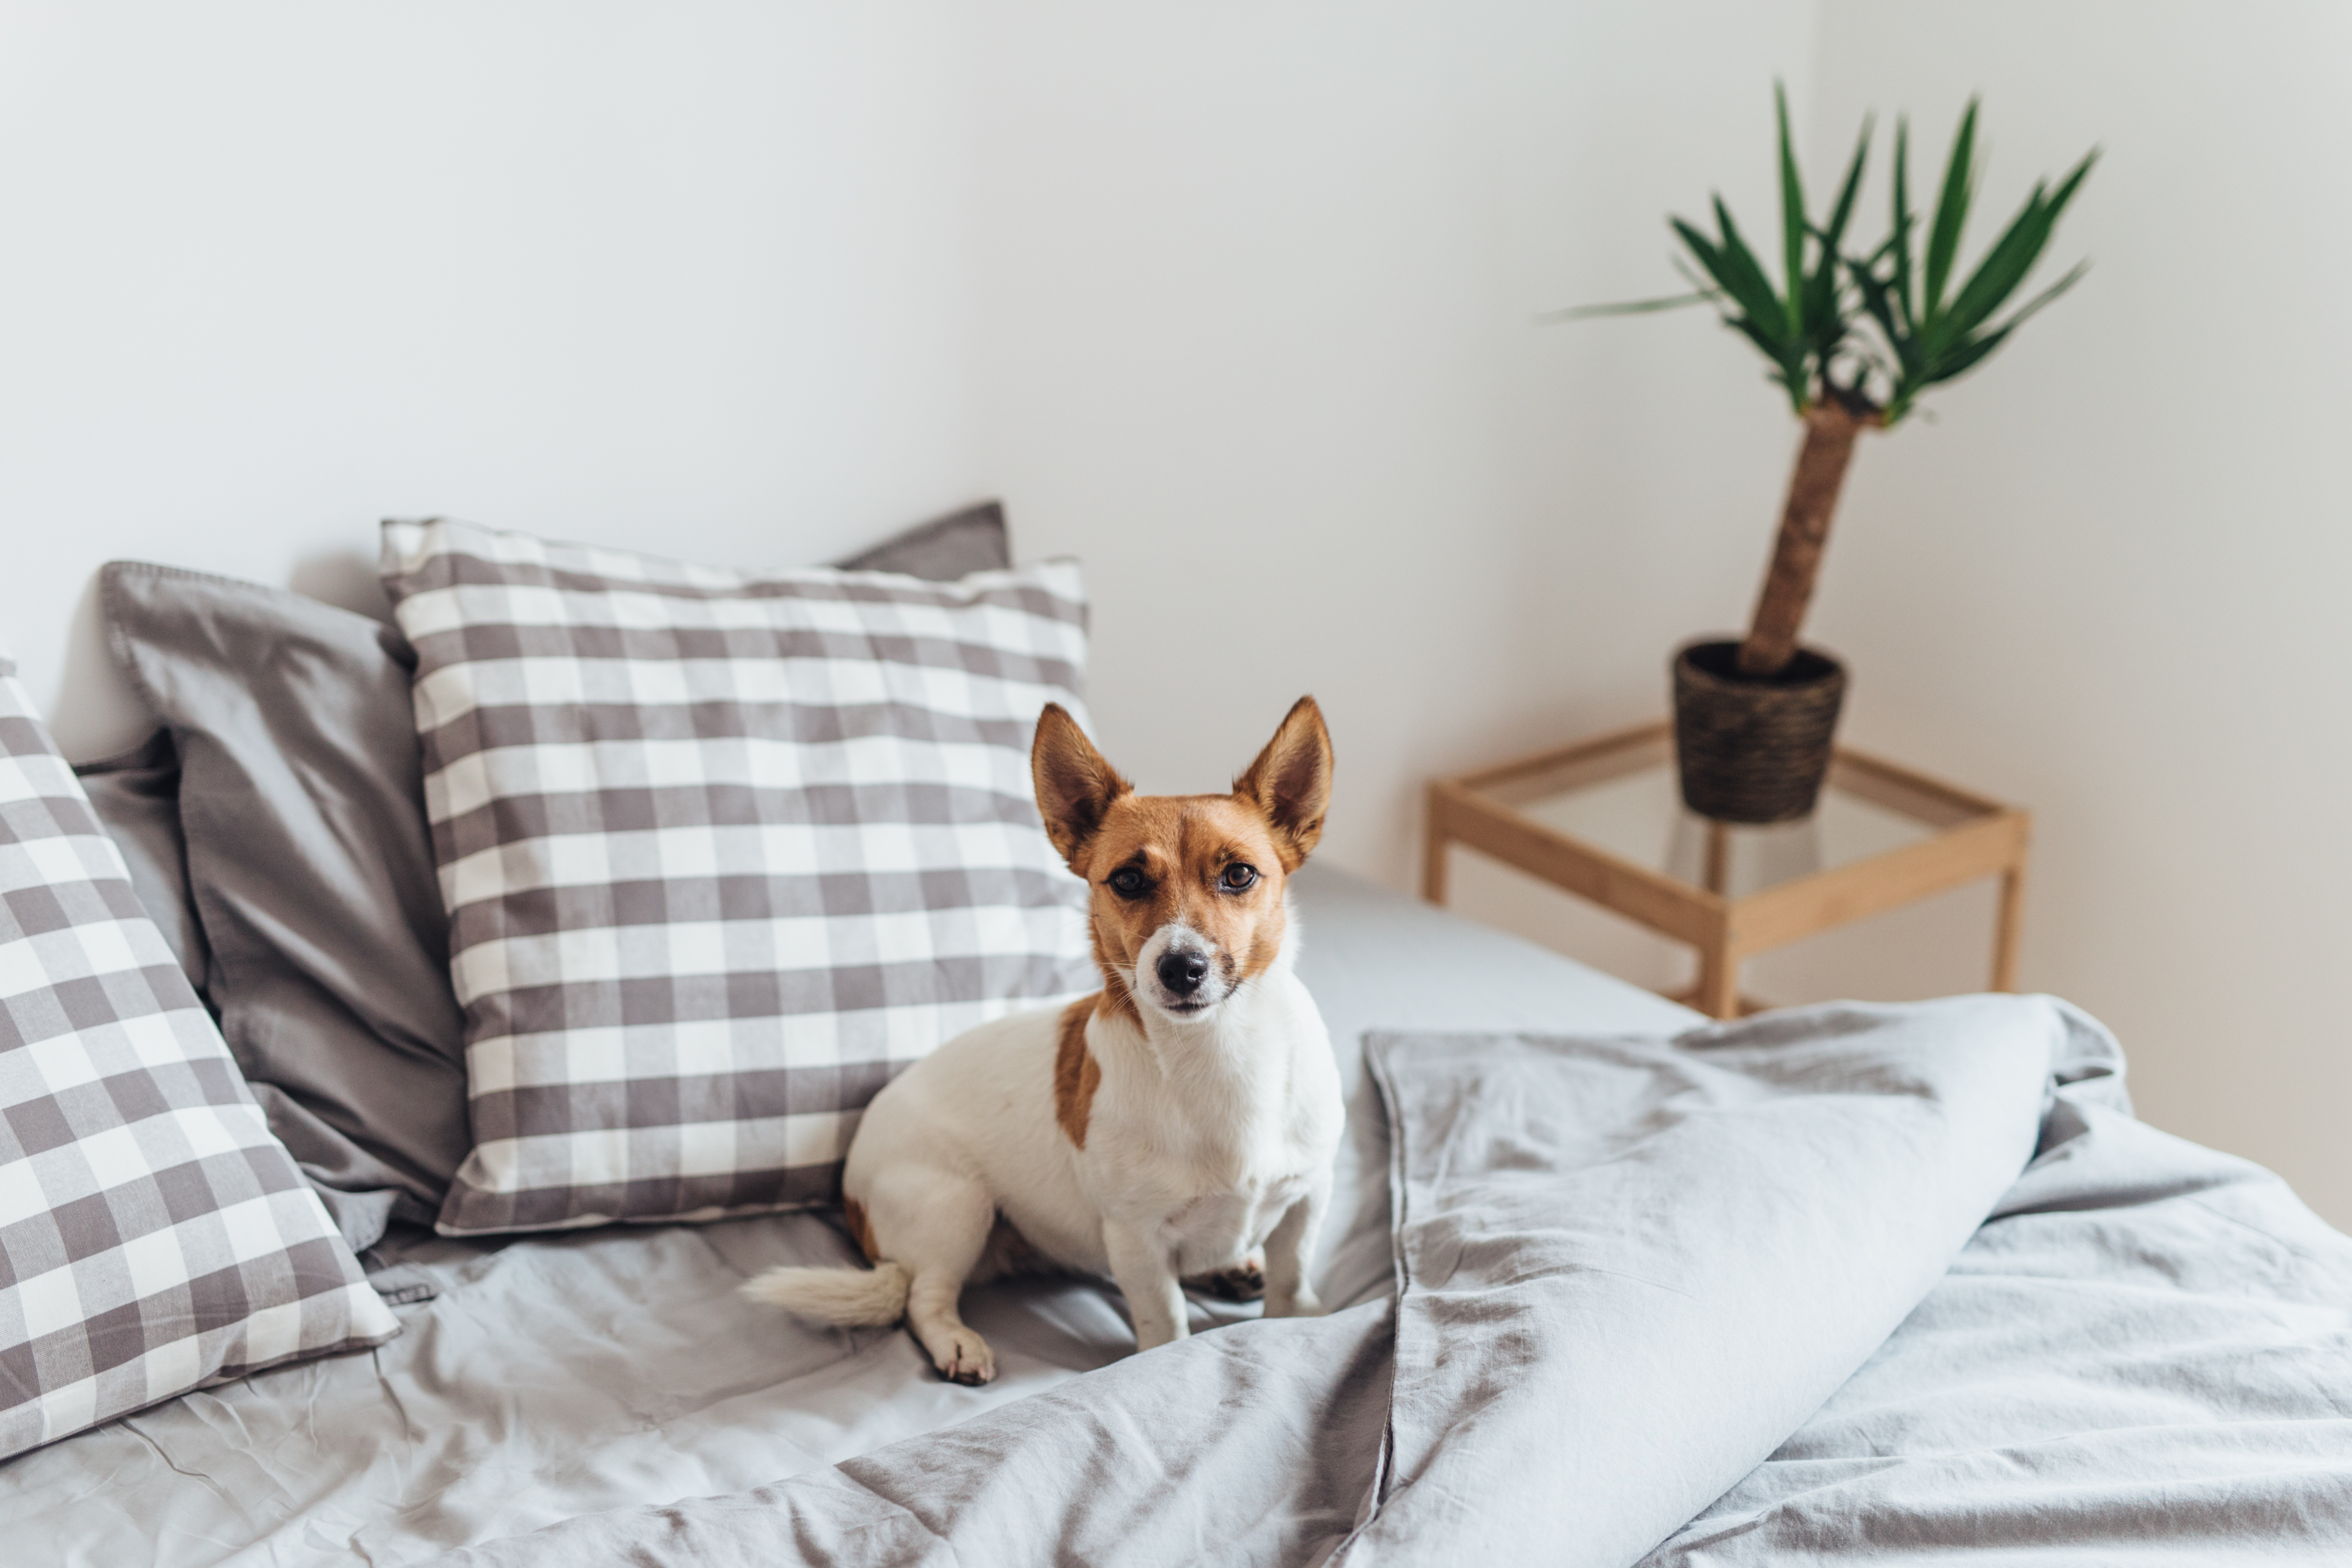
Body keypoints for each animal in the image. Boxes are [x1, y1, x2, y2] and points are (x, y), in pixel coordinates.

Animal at [748, 700, 1345, 1382]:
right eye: (1129, 879)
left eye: (1239, 874)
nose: (1181, 967)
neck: (1218, 1052)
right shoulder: (1135, 1239)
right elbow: (1164, 1321)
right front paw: (1164, 1356)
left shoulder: (1307, 1199)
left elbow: (1292, 1277)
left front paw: (1297, 1317)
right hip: (956, 1205)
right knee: (922, 1297)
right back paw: (956, 1343)